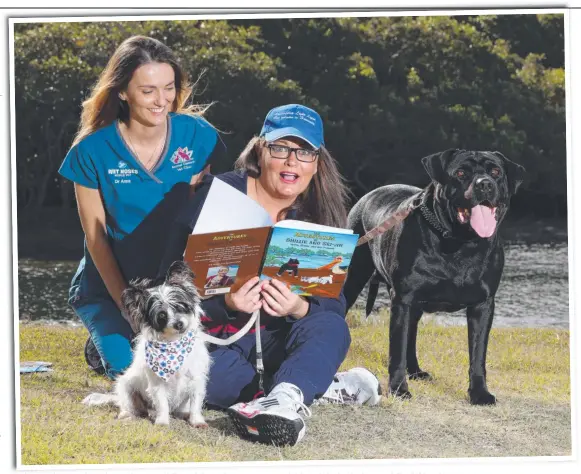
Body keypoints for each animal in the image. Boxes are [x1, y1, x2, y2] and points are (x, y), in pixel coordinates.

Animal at [80, 262, 210, 428]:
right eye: (162, 316)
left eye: (180, 306)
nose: (179, 324)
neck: (174, 343)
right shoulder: (157, 383)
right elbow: (162, 403)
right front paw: (162, 422)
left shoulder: (196, 380)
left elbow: (195, 403)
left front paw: (197, 421)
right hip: (126, 386)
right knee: (130, 406)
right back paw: (129, 414)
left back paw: (182, 413)